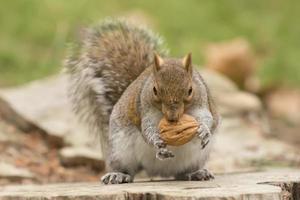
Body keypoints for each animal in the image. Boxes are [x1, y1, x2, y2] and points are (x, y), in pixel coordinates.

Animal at [65, 18, 219, 184]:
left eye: (190, 90)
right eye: (155, 90)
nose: (172, 117)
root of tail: (158, 171)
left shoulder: (201, 102)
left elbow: (206, 117)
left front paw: (204, 130)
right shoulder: (145, 110)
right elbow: (147, 129)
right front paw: (157, 141)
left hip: (197, 157)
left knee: (181, 173)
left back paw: (196, 173)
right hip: (119, 150)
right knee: (127, 169)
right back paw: (118, 174)